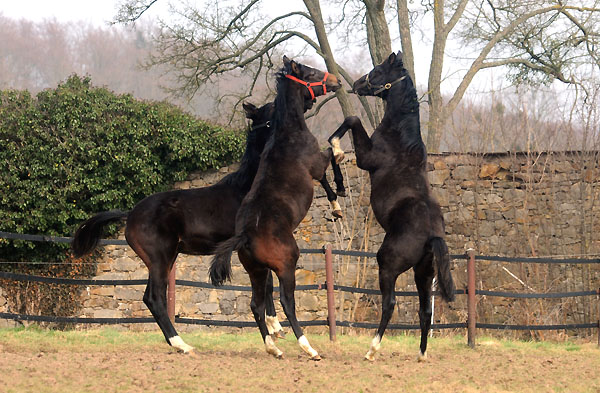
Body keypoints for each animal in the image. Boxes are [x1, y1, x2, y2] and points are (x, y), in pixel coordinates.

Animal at [210, 56, 342, 360]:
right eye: (310, 72)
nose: (336, 80)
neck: (288, 133)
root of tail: (245, 235)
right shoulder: (317, 165)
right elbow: (331, 162)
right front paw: (337, 203)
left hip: (257, 272)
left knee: (256, 305)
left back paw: (273, 347)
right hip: (286, 265)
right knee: (286, 301)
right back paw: (308, 347)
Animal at [328, 52, 454, 362]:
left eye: (377, 70)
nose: (357, 84)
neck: (400, 137)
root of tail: (432, 235)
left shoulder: (366, 159)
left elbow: (352, 119)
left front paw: (337, 148)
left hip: (388, 265)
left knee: (390, 303)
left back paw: (372, 350)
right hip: (424, 273)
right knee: (425, 310)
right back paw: (421, 354)